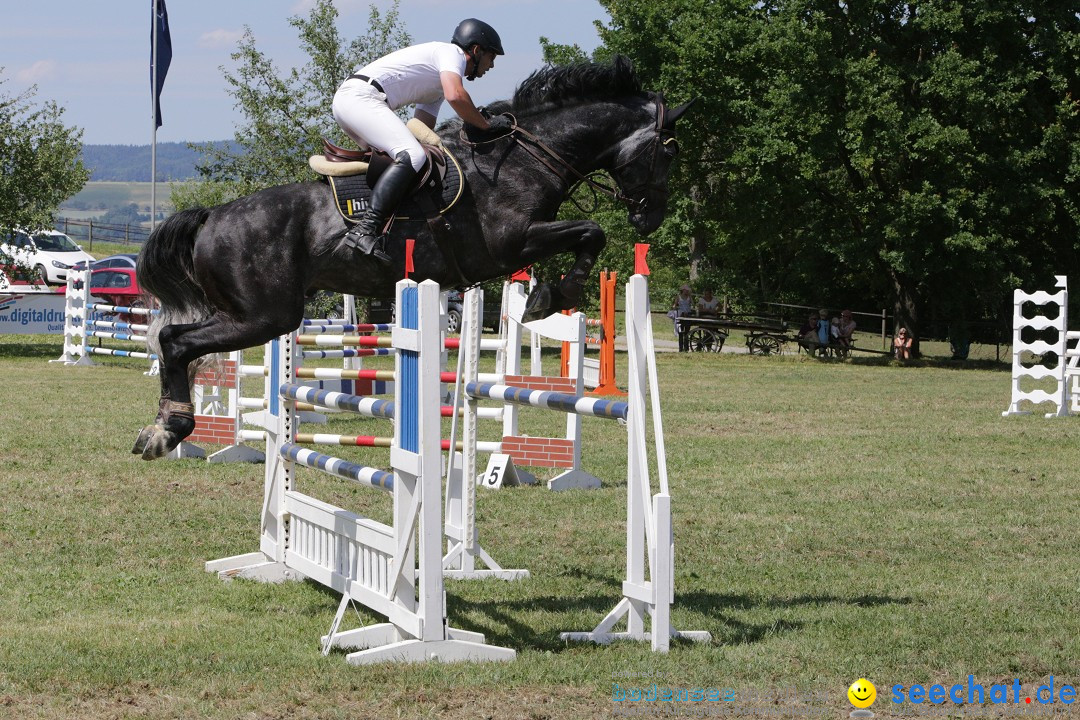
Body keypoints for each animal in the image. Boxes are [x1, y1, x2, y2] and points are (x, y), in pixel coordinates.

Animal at [132, 57, 691, 462]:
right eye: (669, 151)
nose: (650, 220)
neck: (526, 158)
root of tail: (212, 216)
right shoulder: (513, 244)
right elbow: (591, 232)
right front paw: (553, 296)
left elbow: (587, 235)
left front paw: (547, 295)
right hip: (266, 315)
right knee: (175, 341)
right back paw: (170, 429)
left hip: (255, 313)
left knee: (175, 342)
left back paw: (160, 428)